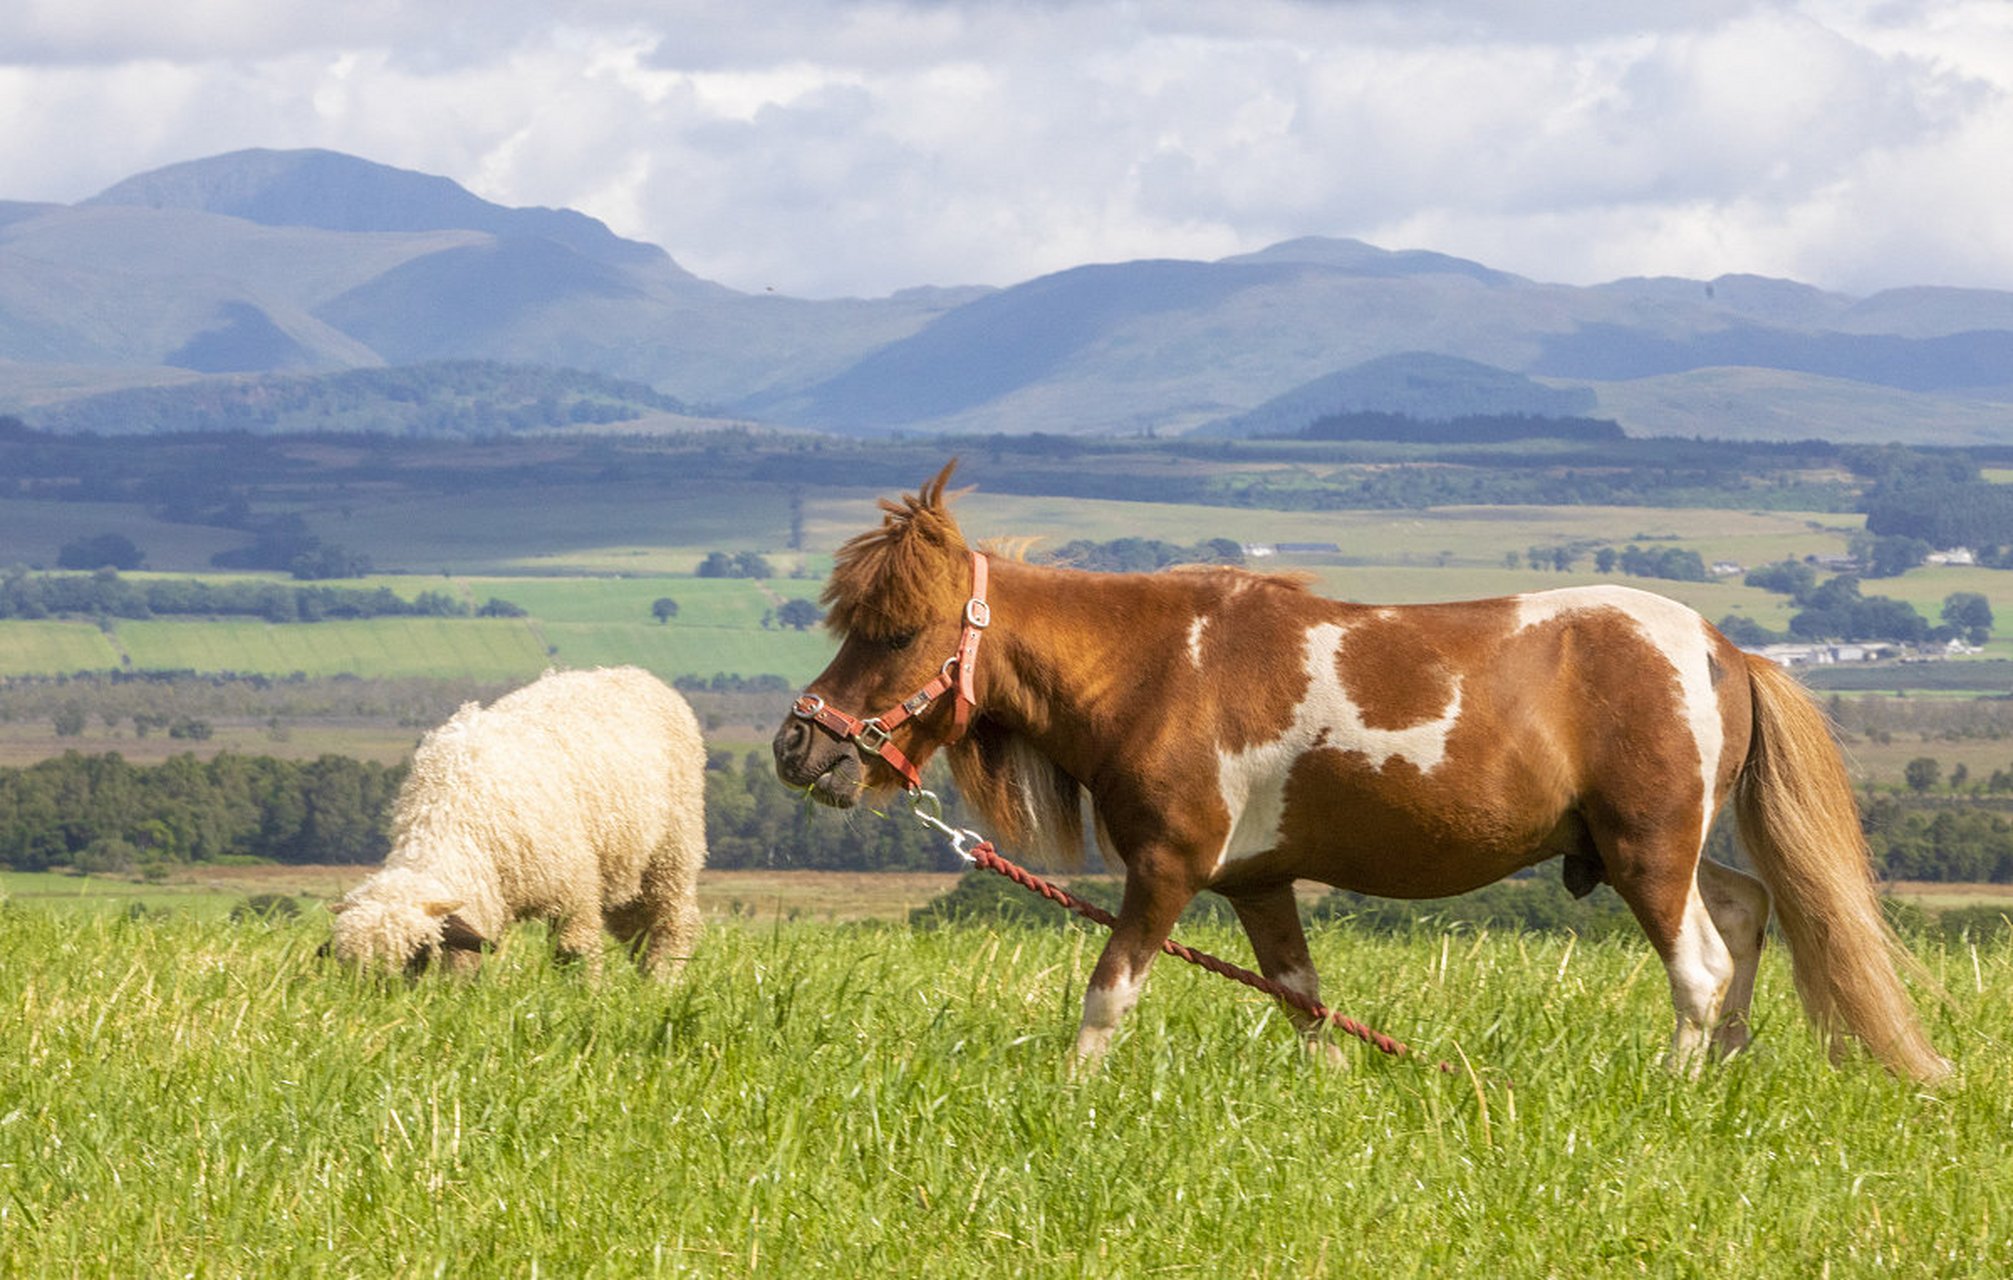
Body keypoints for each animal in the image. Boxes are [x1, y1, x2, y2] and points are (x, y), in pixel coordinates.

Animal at [772, 463, 1948, 1081]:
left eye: (894, 630)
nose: (798, 746)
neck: (1157, 669)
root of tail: (1723, 649)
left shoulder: (1169, 867)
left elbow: (1108, 992)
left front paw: (1071, 1096)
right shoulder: (1256, 883)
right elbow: (1302, 1000)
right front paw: (1338, 1089)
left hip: (1647, 852)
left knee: (1699, 962)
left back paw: (1670, 1084)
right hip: (1663, 847)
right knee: (1746, 914)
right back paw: (1725, 1070)